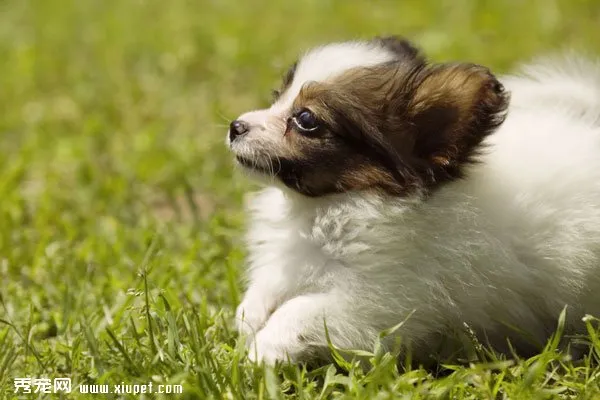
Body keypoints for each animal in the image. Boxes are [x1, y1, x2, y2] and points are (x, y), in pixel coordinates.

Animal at [226, 36, 600, 364]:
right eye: (277, 96)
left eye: (306, 119)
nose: (235, 126)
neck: (329, 207)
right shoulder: (294, 260)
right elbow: (268, 285)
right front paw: (249, 319)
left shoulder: (380, 301)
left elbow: (300, 309)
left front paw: (263, 350)